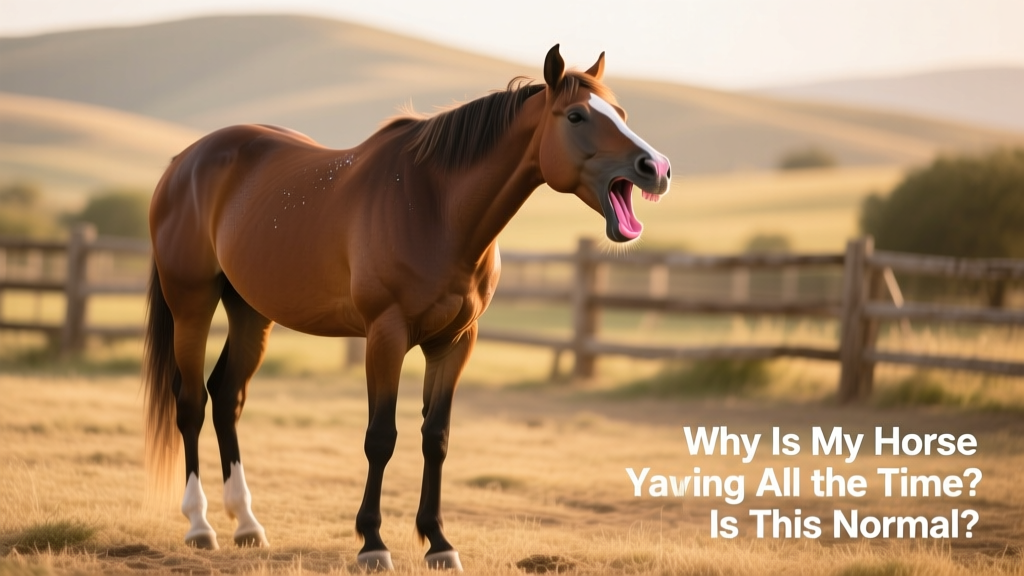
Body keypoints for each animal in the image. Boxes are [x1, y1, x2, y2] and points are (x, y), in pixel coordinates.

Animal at [144, 44, 670, 571]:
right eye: (577, 116)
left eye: (620, 114)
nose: (658, 168)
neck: (435, 209)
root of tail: (183, 162)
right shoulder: (386, 336)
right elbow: (381, 438)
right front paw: (372, 543)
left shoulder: (455, 342)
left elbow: (435, 437)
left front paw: (438, 542)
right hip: (192, 303)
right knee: (191, 403)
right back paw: (200, 525)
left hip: (251, 312)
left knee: (226, 397)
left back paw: (247, 524)